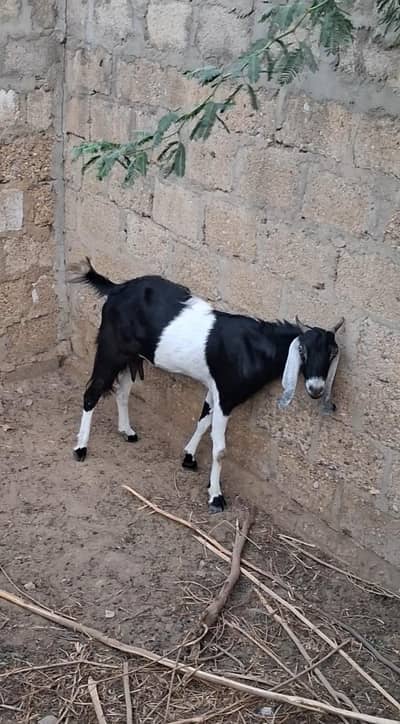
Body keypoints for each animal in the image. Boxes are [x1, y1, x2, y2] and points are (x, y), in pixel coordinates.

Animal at [73, 259, 344, 513]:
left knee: (122, 392)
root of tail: (117, 288)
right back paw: (81, 448)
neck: (252, 348)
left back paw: (127, 431)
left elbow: (203, 421)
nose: (317, 389)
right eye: (303, 351)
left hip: (132, 356)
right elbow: (220, 448)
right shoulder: (226, 395)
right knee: (92, 393)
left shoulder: (215, 388)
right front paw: (216, 496)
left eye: (332, 352)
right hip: (111, 349)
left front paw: (189, 457)